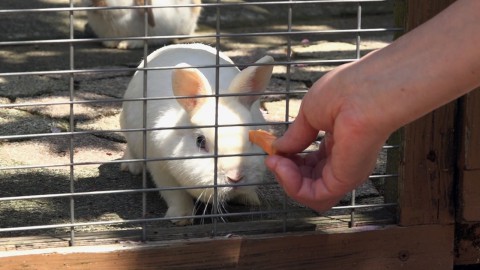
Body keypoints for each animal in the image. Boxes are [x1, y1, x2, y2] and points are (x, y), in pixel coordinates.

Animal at [120, 44, 274, 226]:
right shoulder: (160, 167)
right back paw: (131, 166)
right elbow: (175, 194)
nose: (235, 177)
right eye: (200, 142)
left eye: (251, 137)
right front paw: (182, 217)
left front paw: (250, 198)